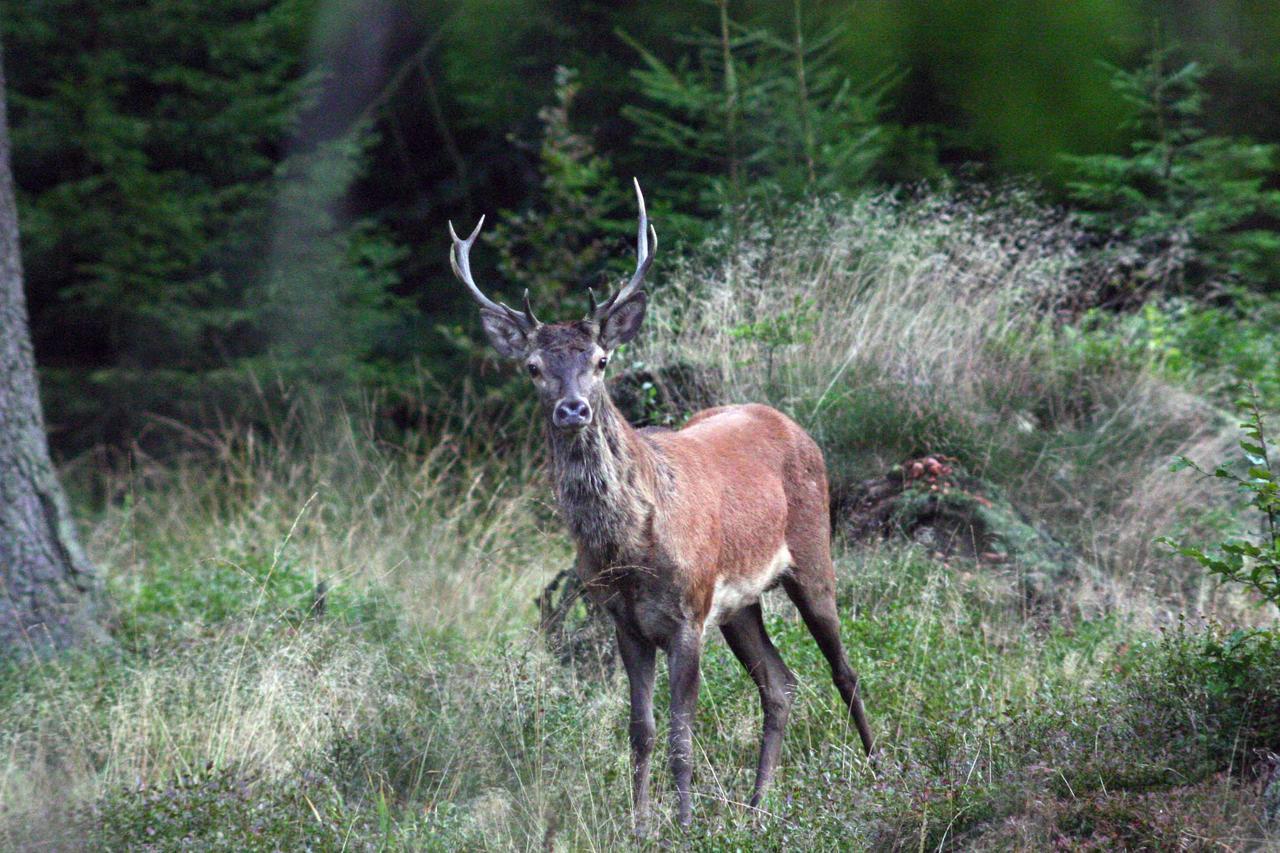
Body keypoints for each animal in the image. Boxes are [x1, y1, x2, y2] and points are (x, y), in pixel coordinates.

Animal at [445, 179, 875, 824]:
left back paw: (882, 769)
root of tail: (790, 423)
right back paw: (757, 806)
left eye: (601, 361)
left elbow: (680, 732)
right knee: (780, 682)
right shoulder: (623, 619)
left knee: (843, 670)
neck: (629, 548)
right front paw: (642, 823)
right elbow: (641, 730)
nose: (572, 408)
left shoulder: (687, 615)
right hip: (740, 604)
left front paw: (686, 822)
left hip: (811, 553)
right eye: (533, 367)